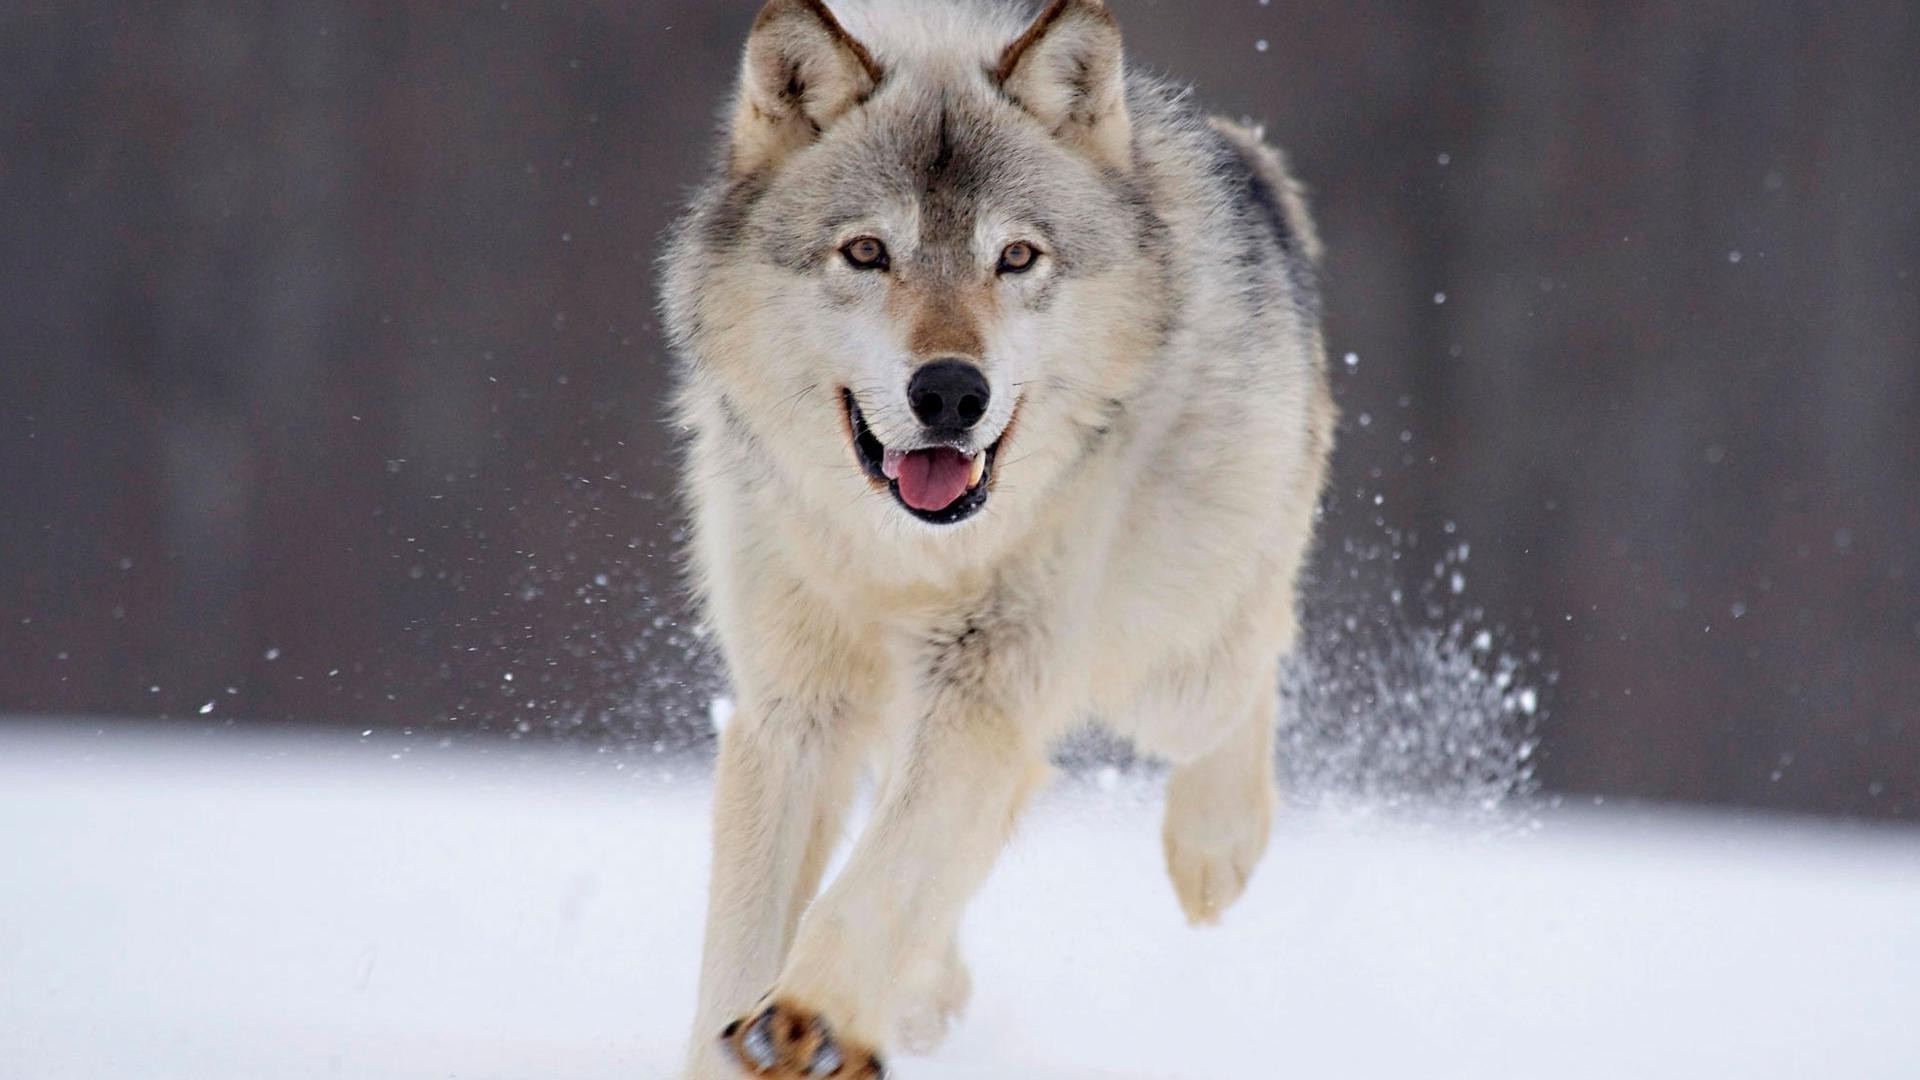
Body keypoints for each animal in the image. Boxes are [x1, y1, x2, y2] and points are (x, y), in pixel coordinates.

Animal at [660, 2, 1336, 1068]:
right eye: (866, 253)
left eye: (1016, 257)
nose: (950, 392)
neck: (903, 558)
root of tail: (1251, 162)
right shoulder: (793, 709)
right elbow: (745, 942)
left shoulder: (988, 686)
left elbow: (881, 879)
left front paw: (811, 1017)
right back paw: (925, 993)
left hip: (1169, 670)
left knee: (1253, 659)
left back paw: (1213, 851)